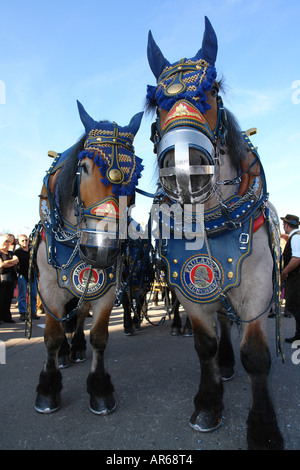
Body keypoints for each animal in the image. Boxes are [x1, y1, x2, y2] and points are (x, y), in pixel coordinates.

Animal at [34, 102, 144, 414]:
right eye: (83, 168)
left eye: (135, 175)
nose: (102, 247)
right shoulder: (49, 289)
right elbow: (52, 336)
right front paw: (47, 389)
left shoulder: (106, 287)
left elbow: (99, 337)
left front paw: (100, 389)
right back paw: (64, 354)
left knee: (80, 314)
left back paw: (78, 348)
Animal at [146, 16, 284, 450]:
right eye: (156, 102)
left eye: (212, 91)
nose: (184, 167)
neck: (209, 221)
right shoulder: (189, 285)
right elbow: (204, 344)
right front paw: (208, 404)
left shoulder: (257, 286)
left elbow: (256, 355)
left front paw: (264, 427)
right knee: (223, 323)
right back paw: (224, 363)